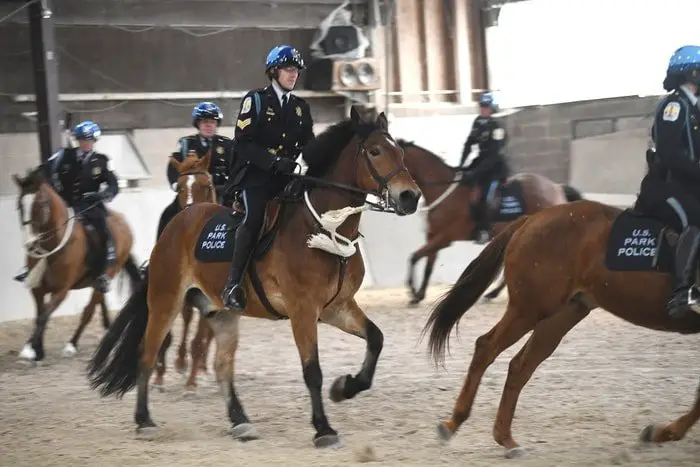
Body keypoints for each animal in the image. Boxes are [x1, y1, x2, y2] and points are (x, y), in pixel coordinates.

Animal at [12, 166, 142, 364]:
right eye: (20, 205)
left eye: (40, 204)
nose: (30, 244)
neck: (53, 247)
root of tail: (124, 224)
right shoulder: (37, 289)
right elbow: (40, 315)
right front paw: (36, 350)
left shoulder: (61, 290)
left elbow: (44, 316)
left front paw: (31, 349)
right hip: (96, 279)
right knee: (99, 301)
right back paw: (107, 328)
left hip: (109, 272)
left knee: (88, 311)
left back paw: (72, 344)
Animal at [152, 151, 217, 394]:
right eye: (179, 187)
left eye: (206, 185)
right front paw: (159, 375)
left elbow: (199, 339)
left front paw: (191, 382)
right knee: (188, 317)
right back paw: (181, 361)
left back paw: (201, 369)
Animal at [396, 141, 584, 306]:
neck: (444, 192)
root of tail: (556, 187)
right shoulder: (433, 237)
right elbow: (427, 265)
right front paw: (419, 295)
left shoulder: (444, 238)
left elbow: (414, 257)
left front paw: (413, 292)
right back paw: (493, 294)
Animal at [422, 199, 700, 458]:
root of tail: (532, 218)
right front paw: (664, 432)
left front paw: (664, 432)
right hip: (530, 310)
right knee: (487, 347)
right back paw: (454, 423)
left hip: (561, 315)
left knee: (519, 366)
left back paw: (505, 440)